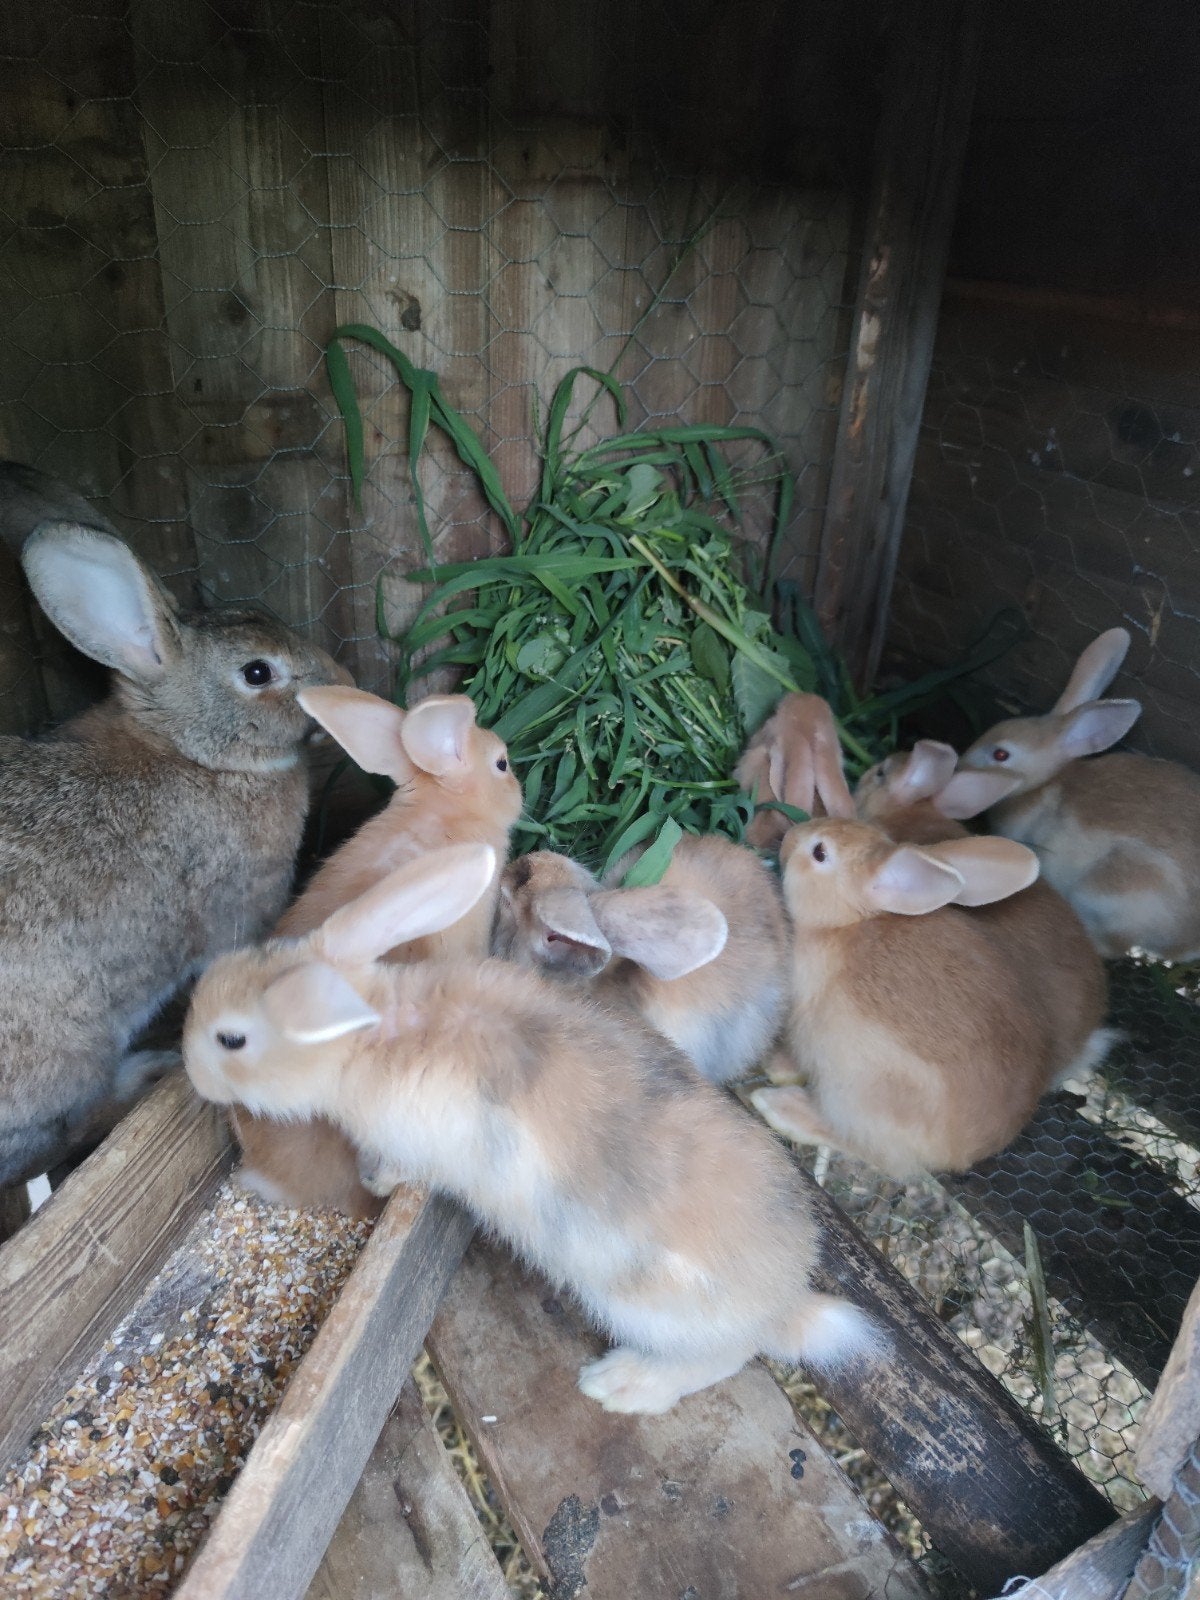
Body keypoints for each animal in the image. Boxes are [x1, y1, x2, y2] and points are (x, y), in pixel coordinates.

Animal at [750, 817, 1110, 1179]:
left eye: (820, 853)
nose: (790, 836)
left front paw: (778, 1065)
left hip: (862, 1097)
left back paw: (780, 1107)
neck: (847, 923)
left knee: (871, 1149)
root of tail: (964, 1153)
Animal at [957, 627, 1200, 960]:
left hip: (1109, 892)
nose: (959, 767)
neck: (1047, 783)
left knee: (1113, 946)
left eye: (1001, 755)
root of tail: (1186, 945)